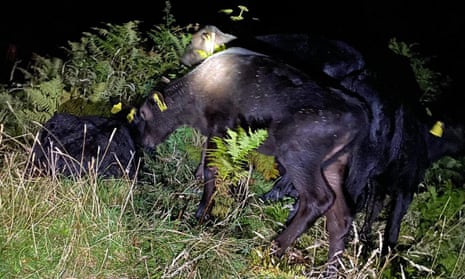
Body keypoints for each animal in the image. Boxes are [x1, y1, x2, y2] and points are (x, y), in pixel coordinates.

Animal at [135, 46, 370, 264]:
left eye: (143, 114)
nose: (143, 142)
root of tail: (359, 115)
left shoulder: (221, 126)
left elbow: (212, 168)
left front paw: (202, 214)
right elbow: (204, 161)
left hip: (299, 155)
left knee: (319, 199)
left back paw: (274, 248)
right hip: (332, 165)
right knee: (341, 218)